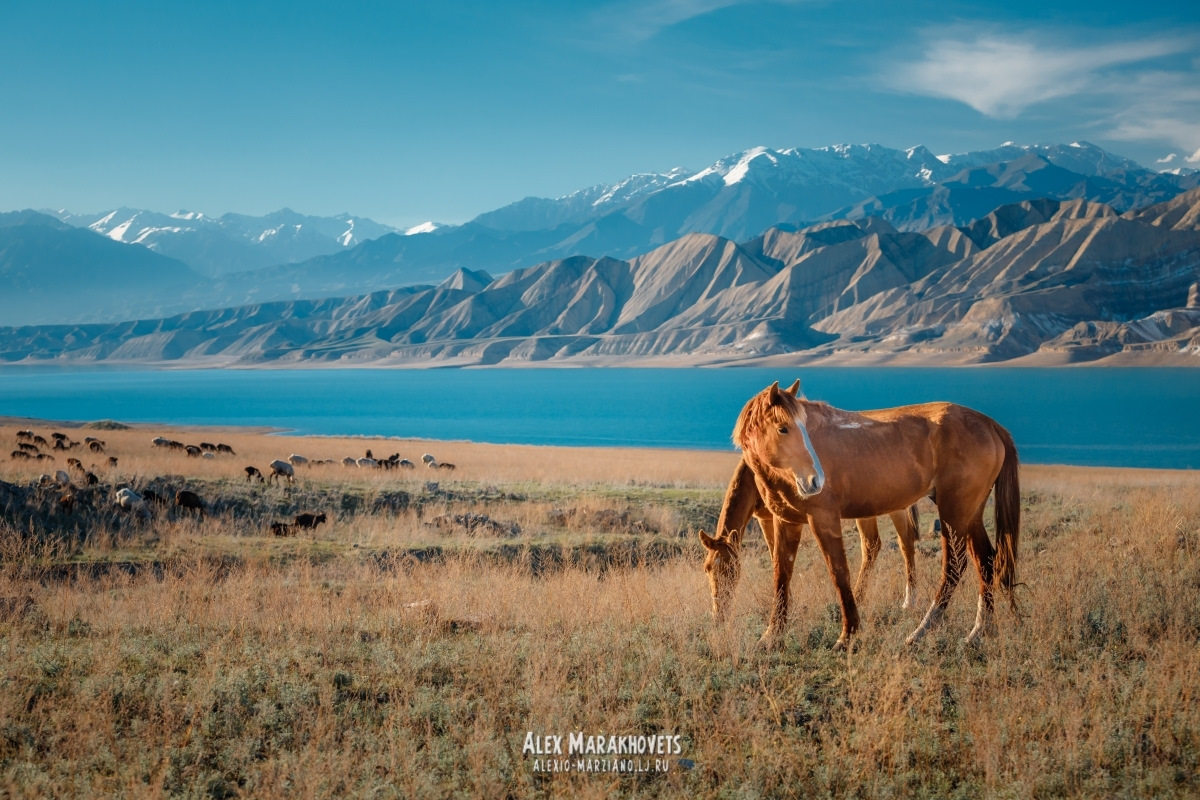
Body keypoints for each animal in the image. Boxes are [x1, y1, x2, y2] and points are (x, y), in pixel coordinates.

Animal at [700, 381, 1017, 652]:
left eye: (792, 428)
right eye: (783, 428)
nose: (815, 481)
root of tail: (990, 424)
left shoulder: (823, 519)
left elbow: (839, 573)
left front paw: (847, 635)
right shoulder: (784, 521)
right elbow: (781, 574)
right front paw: (771, 635)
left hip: (953, 512)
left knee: (953, 566)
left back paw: (920, 631)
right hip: (970, 513)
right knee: (986, 560)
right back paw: (980, 631)